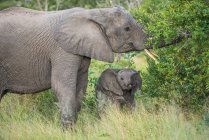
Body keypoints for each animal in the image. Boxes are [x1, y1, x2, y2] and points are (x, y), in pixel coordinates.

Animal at [0, 6, 186, 129]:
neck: (94, 13)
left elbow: (80, 87)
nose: (188, 32)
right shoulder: (62, 50)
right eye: (127, 29)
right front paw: (68, 133)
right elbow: (63, 87)